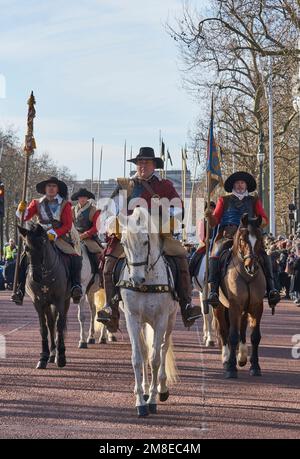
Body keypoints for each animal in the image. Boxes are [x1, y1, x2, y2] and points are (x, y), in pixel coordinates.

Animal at [18, 224, 71, 370]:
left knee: (59, 322)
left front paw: (61, 357)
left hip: (65, 301)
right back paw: (52, 354)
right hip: (47, 304)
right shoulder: (38, 303)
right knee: (51, 324)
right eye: (26, 248)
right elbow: (44, 328)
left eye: (42, 245)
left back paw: (57, 353)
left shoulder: (59, 300)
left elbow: (60, 325)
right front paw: (43, 357)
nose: (35, 277)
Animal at [117, 210, 178, 418]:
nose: (136, 279)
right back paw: (144, 390)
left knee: (163, 348)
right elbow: (138, 357)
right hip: (144, 322)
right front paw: (140, 401)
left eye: (145, 242)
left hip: (170, 320)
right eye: (123, 243)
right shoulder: (132, 318)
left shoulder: (161, 320)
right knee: (145, 351)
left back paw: (162, 388)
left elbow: (156, 359)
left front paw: (152, 400)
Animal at [214, 214, 266, 380]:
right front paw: (231, 368)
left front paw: (255, 366)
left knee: (242, 330)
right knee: (224, 330)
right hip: (219, 307)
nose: (252, 266)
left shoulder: (256, 306)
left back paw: (242, 357)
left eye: (260, 239)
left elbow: (255, 336)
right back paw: (226, 358)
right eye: (243, 239)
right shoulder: (234, 306)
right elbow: (232, 336)